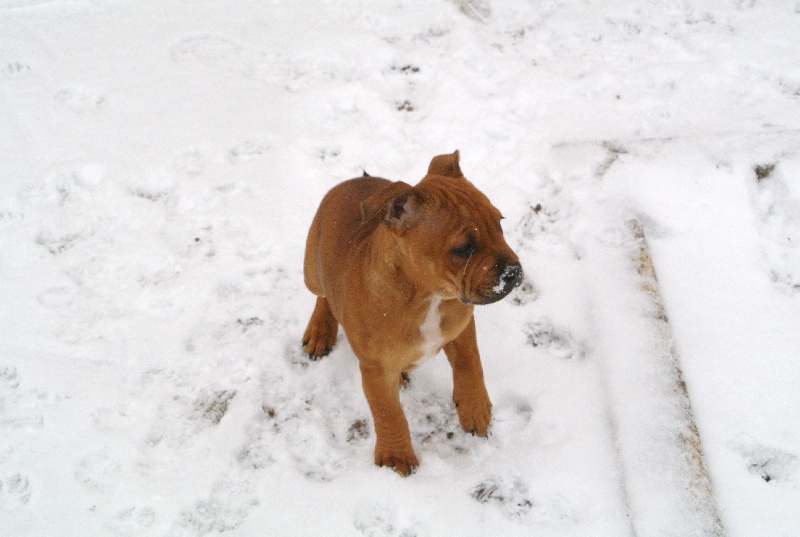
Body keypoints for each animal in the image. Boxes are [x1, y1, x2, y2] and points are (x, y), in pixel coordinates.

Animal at [304, 151, 520, 474]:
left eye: (500, 222)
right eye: (463, 248)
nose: (513, 271)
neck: (426, 298)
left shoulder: (461, 325)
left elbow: (471, 363)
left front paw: (475, 407)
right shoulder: (376, 370)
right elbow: (388, 412)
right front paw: (396, 455)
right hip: (312, 271)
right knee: (323, 295)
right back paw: (320, 331)